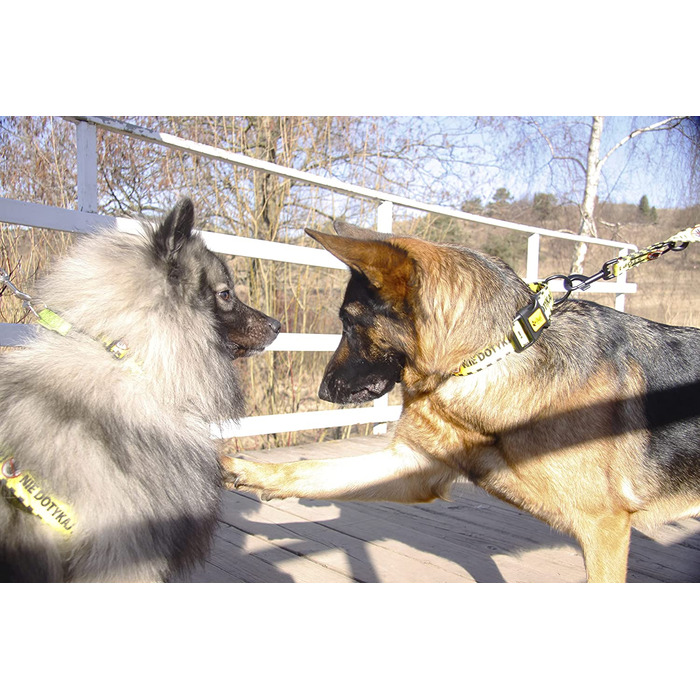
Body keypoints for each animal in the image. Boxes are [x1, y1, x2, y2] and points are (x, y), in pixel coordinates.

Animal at [223, 221, 700, 584]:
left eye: (348, 322)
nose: (322, 392)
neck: (488, 357)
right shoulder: (413, 468)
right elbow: (310, 470)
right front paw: (242, 470)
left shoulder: (605, 529)